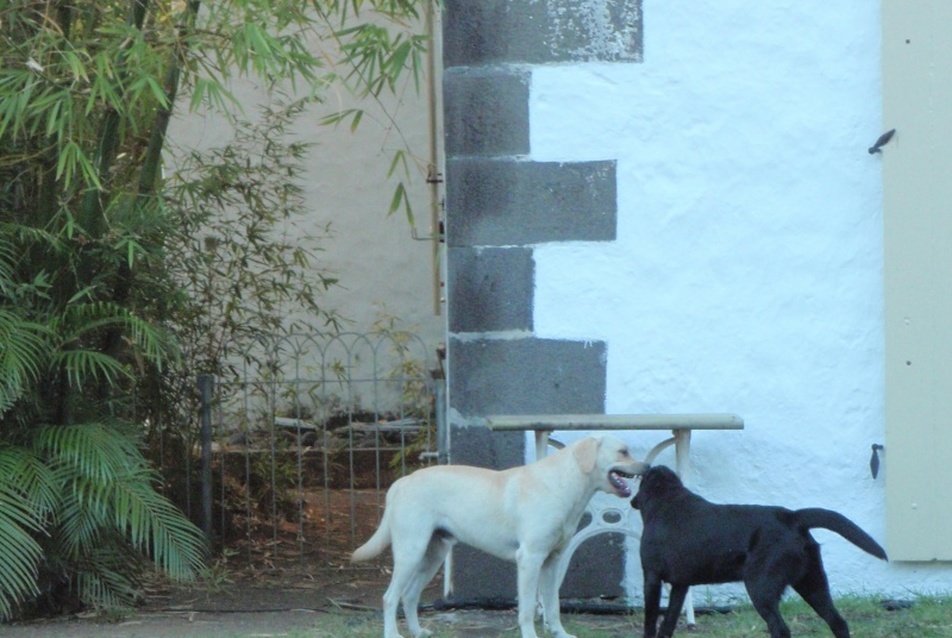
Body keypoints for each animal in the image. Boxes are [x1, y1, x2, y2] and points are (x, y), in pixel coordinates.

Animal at [354, 436, 652, 638]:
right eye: (623, 451)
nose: (648, 467)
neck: (564, 485)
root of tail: (401, 482)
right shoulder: (530, 559)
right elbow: (528, 608)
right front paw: (530, 635)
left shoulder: (552, 561)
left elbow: (553, 604)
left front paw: (559, 633)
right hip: (411, 552)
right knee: (390, 597)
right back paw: (393, 633)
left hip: (433, 555)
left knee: (409, 596)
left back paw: (417, 632)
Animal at [632, 464, 884, 638]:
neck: (666, 500)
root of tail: (793, 517)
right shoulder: (680, 585)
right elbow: (668, 623)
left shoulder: (651, 577)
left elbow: (650, 620)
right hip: (812, 583)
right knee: (838, 622)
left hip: (760, 587)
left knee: (781, 629)